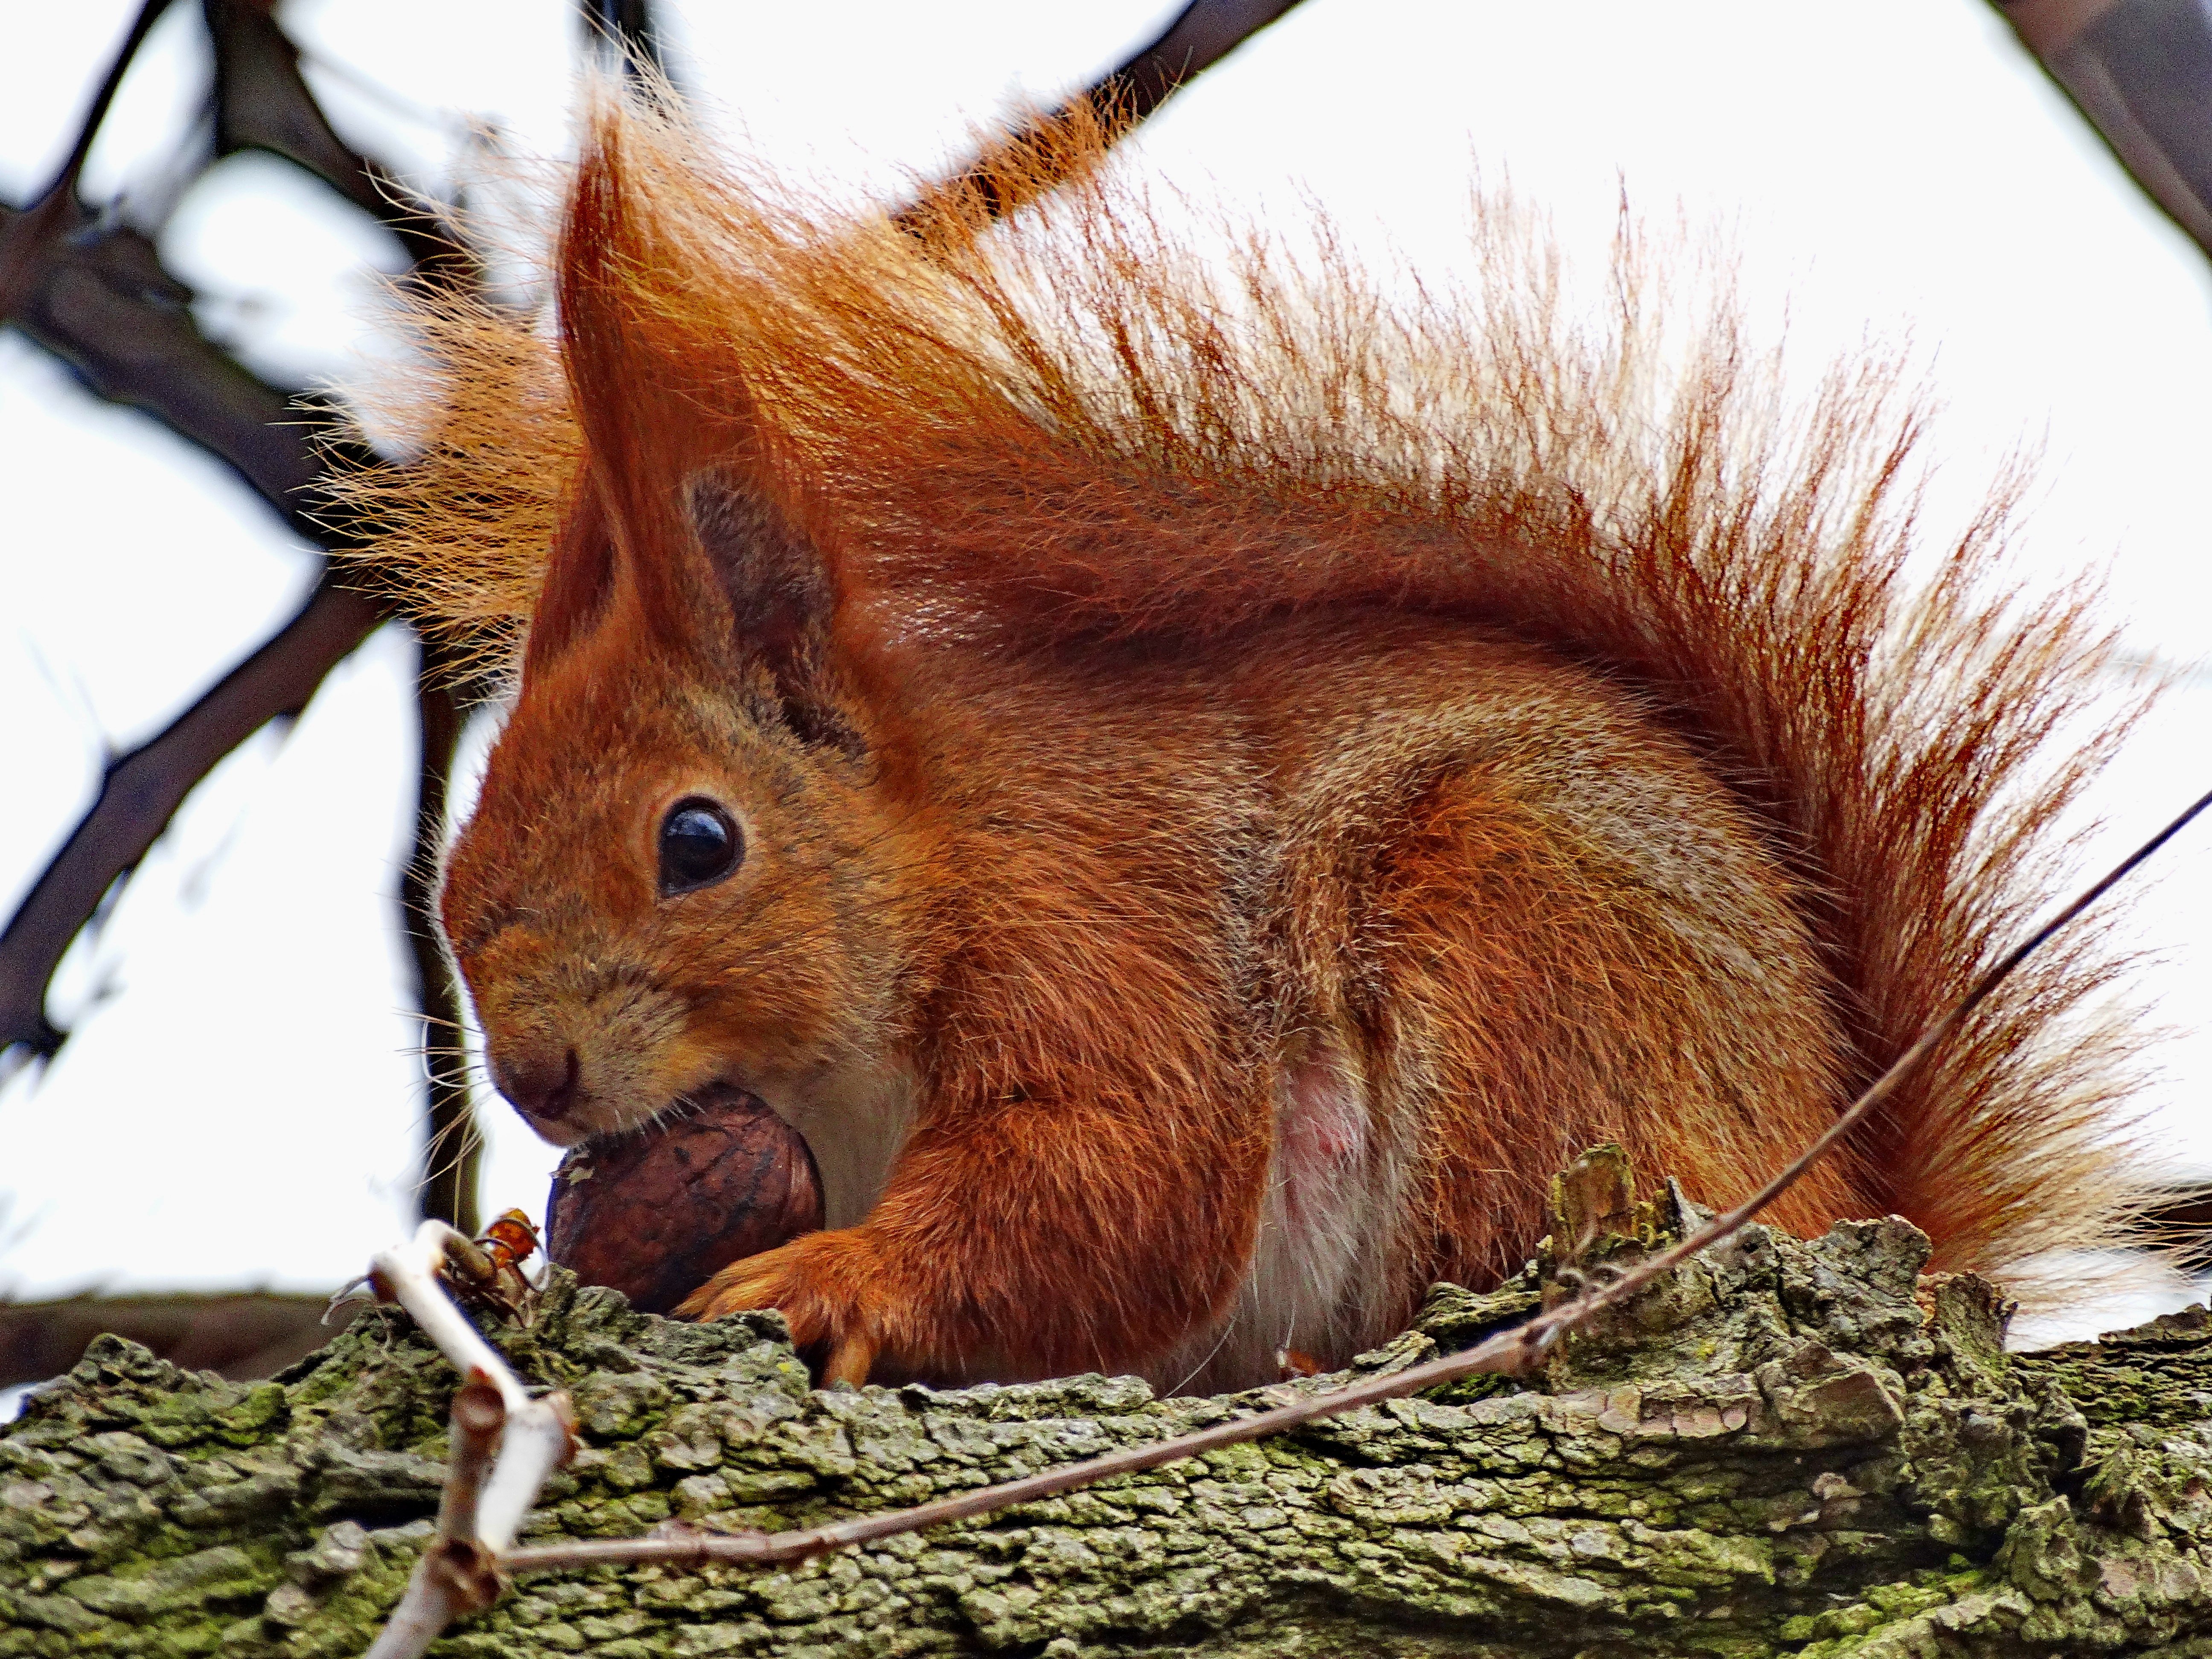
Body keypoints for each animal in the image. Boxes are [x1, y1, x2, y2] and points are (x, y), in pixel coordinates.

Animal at [341, 97, 2141, 1398]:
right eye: (462, 858)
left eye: (698, 841)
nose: (535, 1076)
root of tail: (1860, 1195)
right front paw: (518, 1245)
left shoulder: (1105, 926)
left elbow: (1112, 1176)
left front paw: (827, 1279)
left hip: (1529, 945)